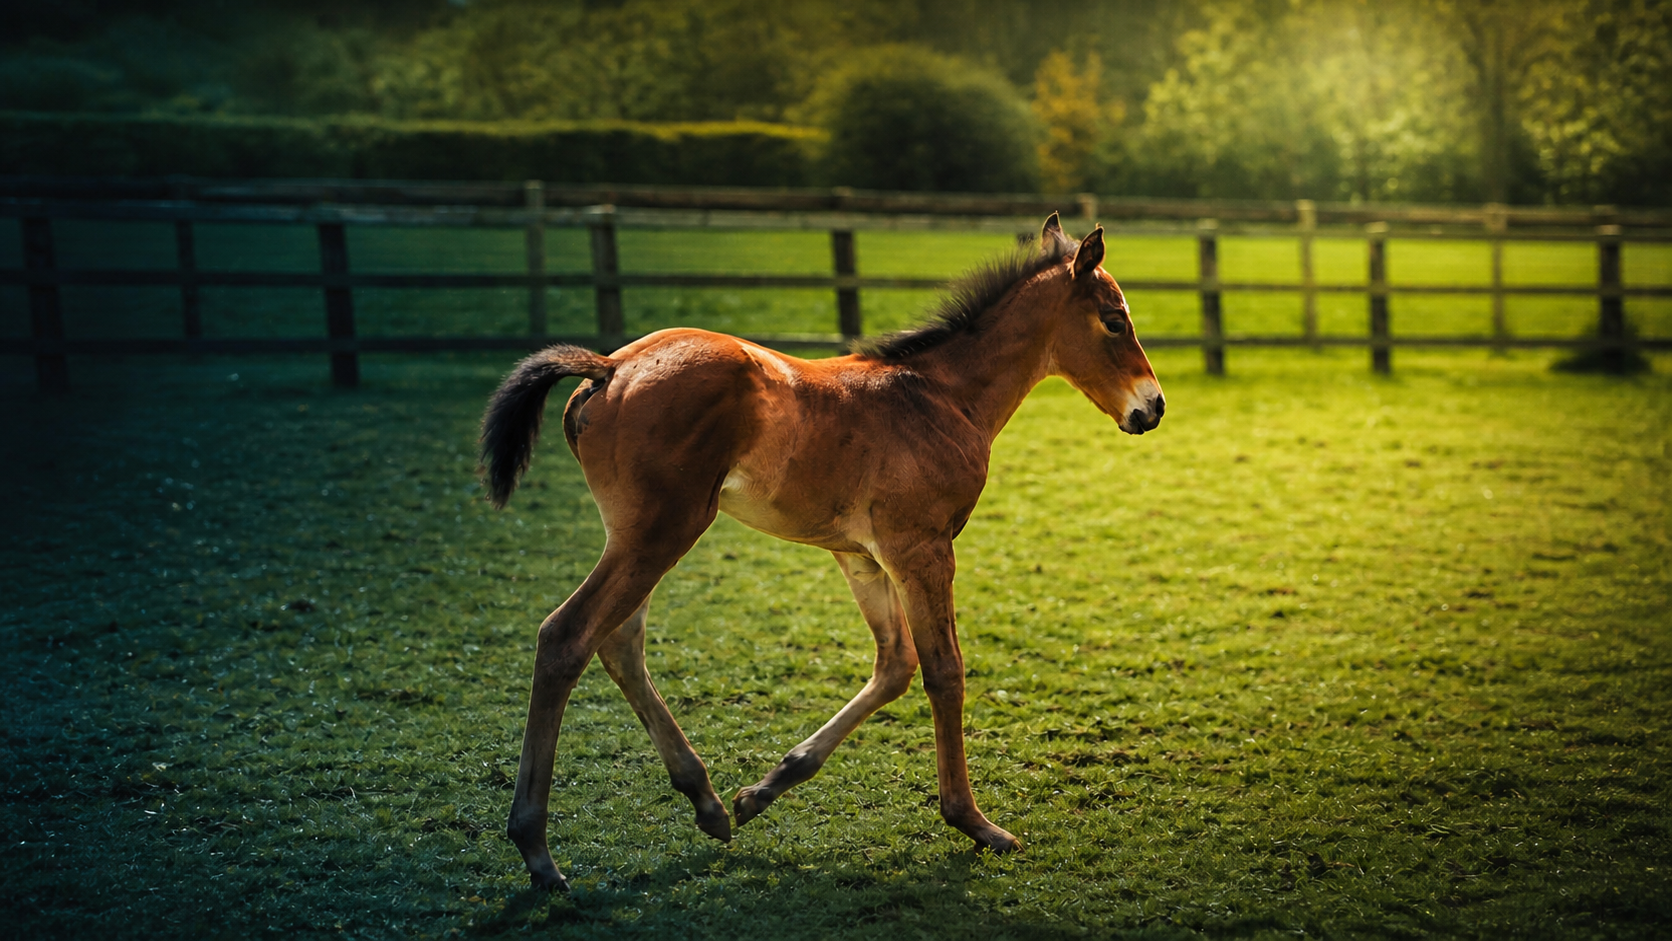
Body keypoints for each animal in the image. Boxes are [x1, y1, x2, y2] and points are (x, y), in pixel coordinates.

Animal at [479, 213, 1164, 890]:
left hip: (640, 535)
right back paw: (537, 850)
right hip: (661, 532)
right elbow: (944, 671)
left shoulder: (861, 555)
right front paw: (973, 823)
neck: (941, 396)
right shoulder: (922, 549)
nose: (1152, 407)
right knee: (567, 636)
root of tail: (609, 368)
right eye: (1114, 319)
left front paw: (766, 788)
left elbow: (895, 665)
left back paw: (707, 802)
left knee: (618, 641)